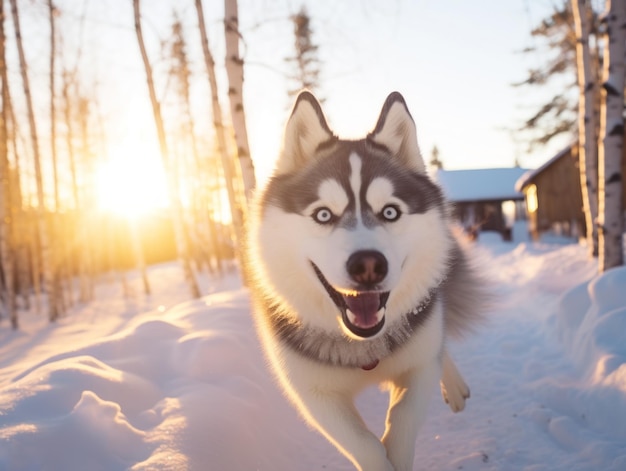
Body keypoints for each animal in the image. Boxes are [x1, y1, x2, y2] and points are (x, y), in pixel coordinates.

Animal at [246, 92, 486, 471]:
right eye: (323, 214)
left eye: (390, 212)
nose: (368, 265)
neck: (363, 348)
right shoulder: (315, 394)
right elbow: (365, 445)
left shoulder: (418, 365)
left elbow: (402, 417)